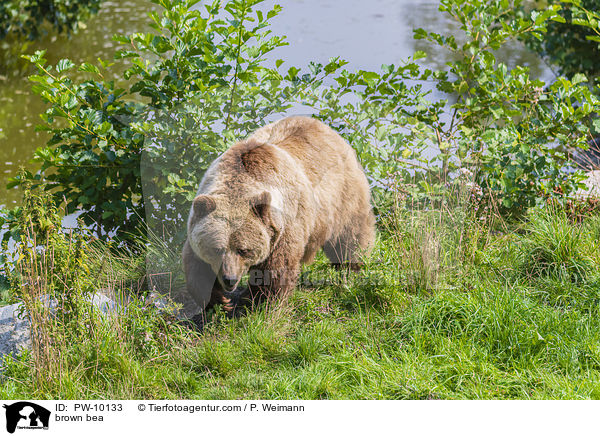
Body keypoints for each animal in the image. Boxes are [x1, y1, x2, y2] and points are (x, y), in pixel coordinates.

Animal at [183, 116, 372, 310]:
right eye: (217, 249)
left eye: (243, 250)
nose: (230, 279)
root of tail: (327, 129)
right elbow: (196, 265)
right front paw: (219, 300)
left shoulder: (284, 225)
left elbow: (276, 270)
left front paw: (259, 302)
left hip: (343, 196)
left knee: (350, 235)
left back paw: (351, 267)